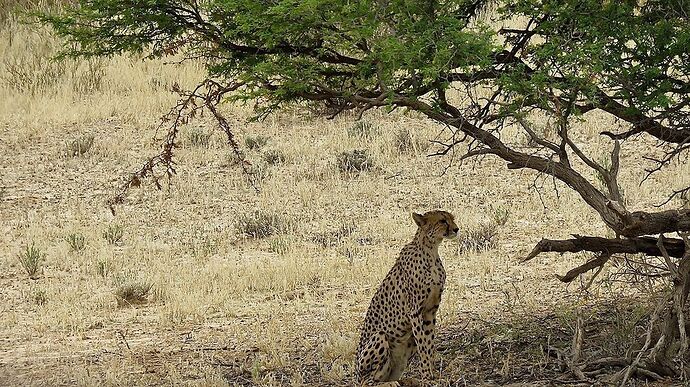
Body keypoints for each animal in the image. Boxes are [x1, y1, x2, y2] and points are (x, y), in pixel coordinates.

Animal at [354, 211, 456, 386]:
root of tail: (356, 375)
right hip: (379, 337)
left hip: (406, 345)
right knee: (369, 382)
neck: (431, 250)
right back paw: (390, 383)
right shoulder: (415, 311)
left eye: (452, 218)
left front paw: (433, 375)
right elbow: (424, 345)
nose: (456, 229)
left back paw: (408, 380)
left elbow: (429, 344)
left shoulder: (430, 311)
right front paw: (427, 376)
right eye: (442, 221)